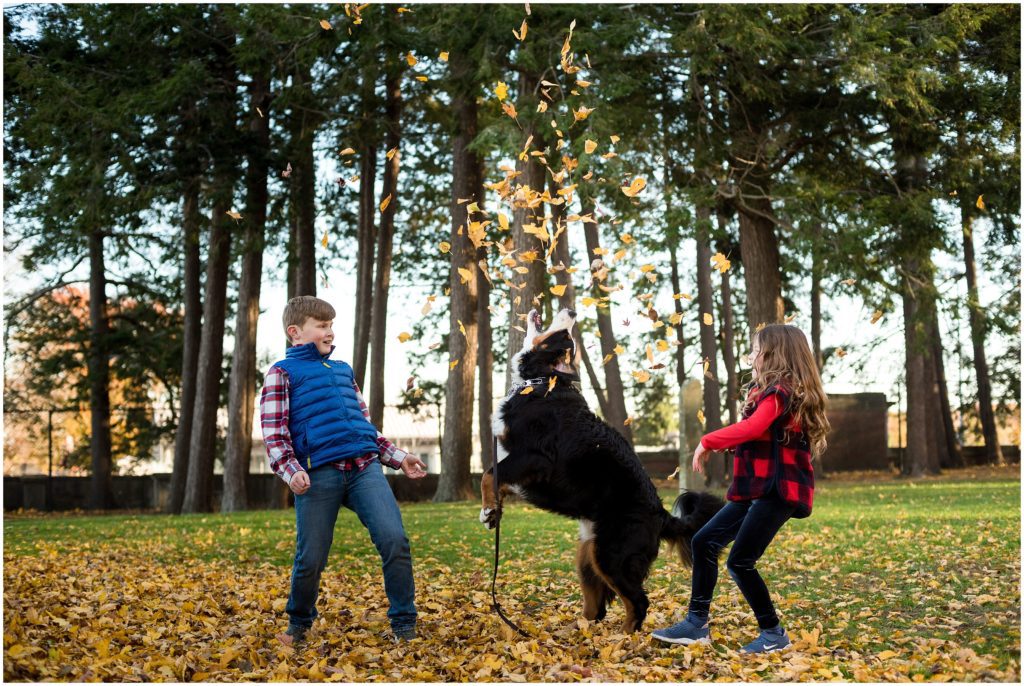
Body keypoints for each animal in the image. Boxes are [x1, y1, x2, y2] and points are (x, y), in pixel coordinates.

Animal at [477, 311, 724, 634]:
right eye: (568, 339)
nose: (571, 312)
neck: (540, 383)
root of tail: (660, 513)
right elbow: (495, 479)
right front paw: (492, 513)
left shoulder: (534, 457)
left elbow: (488, 474)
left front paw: (487, 511)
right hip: (588, 554)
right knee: (595, 608)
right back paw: (574, 633)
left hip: (611, 554)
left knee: (638, 602)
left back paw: (623, 640)